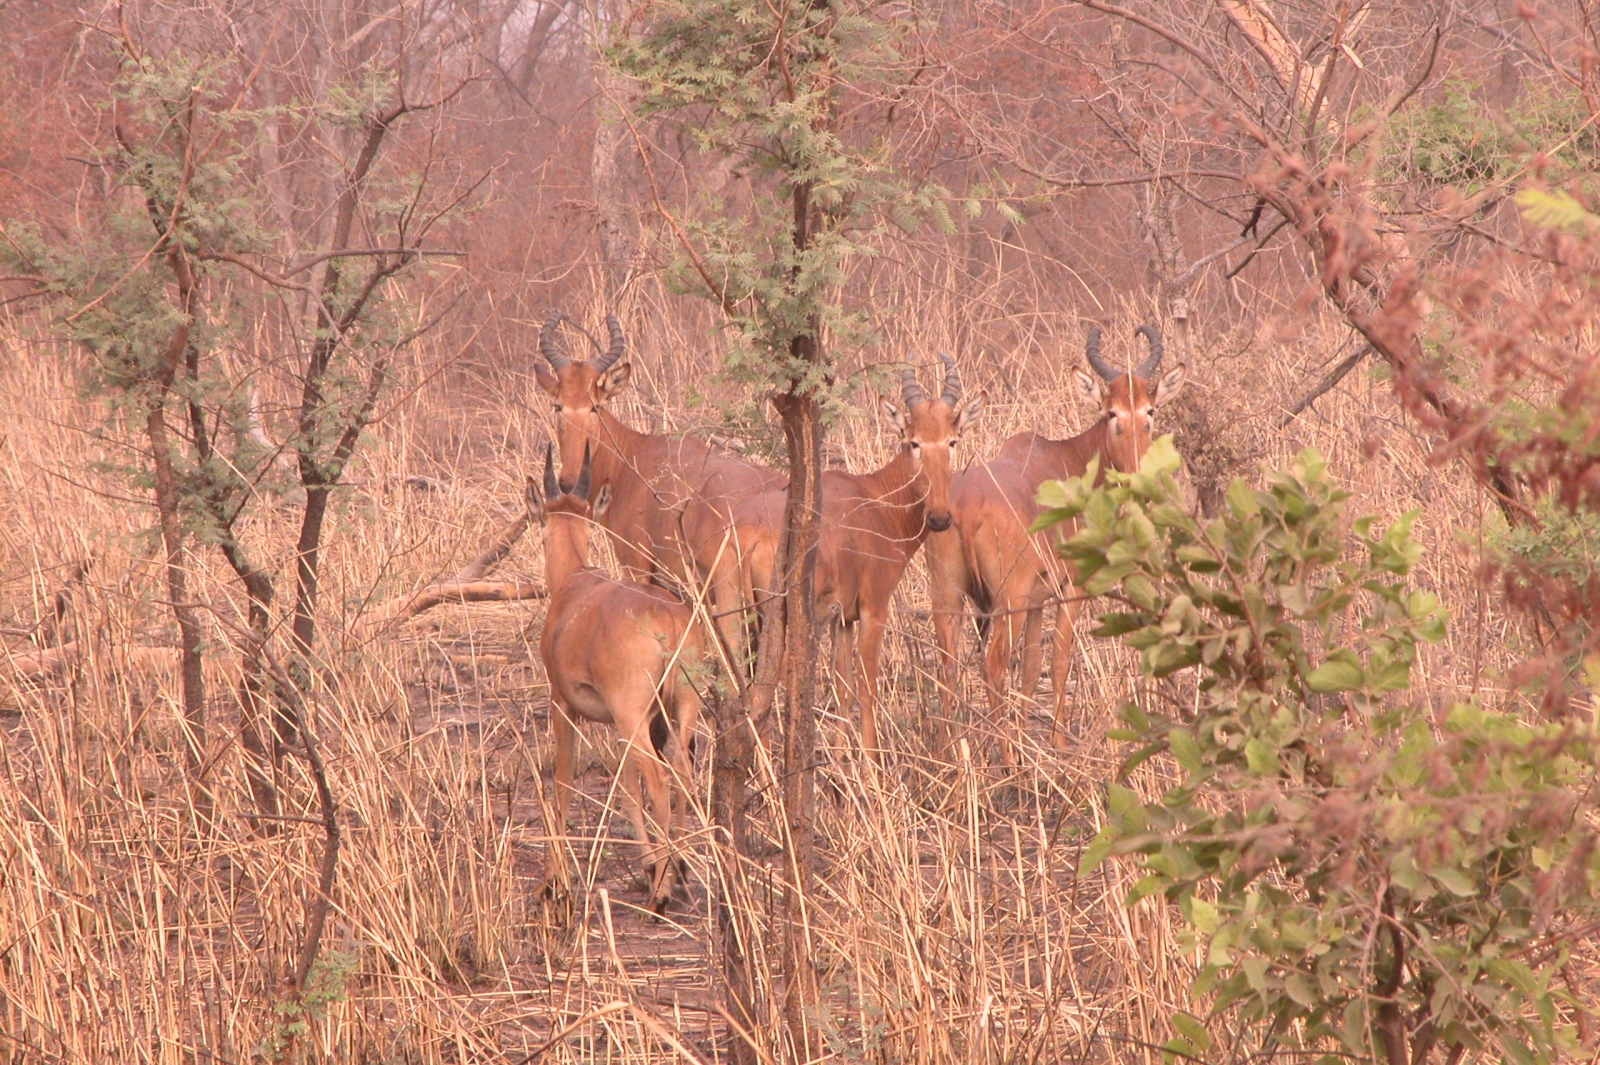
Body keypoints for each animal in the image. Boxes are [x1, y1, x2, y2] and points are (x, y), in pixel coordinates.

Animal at [534, 312, 784, 666]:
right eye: (558, 405)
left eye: (595, 406)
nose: (568, 481)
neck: (635, 458)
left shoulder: (636, 566)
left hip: (731, 597)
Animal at [534, 443, 708, 913]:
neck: (576, 586)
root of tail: (667, 615)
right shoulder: (627, 719)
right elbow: (628, 786)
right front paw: (648, 863)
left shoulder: (563, 705)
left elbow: (563, 781)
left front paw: (553, 881)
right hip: (678, 707)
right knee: (680, 768)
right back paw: (679, 868)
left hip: (634, 714)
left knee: (659, 777)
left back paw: (662, 893)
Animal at [714, 353, 984, 755]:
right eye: (913, 442)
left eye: (952, 440)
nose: (938, 517)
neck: (875, 498)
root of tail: (749, 534)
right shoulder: (873, 609)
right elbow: (867, 688)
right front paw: (871, 765)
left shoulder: (842, 619)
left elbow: (842, 691)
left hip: (735, 618)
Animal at [926, 325, 1185, 750]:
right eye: (1111, 412)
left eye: (1150, 410)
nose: (1135, 478)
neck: (1069, 458)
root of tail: (967, 505)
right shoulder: (1070, 590)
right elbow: (1060, 660)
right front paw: (1058, 744)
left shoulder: (1036, 601)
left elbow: (1032, 668)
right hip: (1006, 603)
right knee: (994, 665)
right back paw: (1006, 755)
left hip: (947, 597)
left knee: (947, 667)